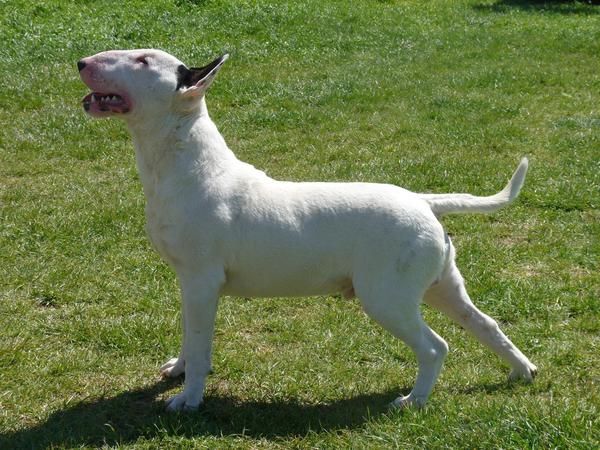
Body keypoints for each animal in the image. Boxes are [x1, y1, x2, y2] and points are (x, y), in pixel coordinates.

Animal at [77, 49, 536, 412]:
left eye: (143, 60)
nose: (81, 62)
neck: (188, 166)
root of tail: (424, 202)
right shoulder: (187, 283)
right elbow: (188, 334)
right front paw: (178, 369)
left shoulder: (202, 281)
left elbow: (201, 341)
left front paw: (189, 399)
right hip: (441, 286)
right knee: (486, 324)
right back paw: (522, 371)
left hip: (387, 297)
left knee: (435, 346)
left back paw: (414, 401)